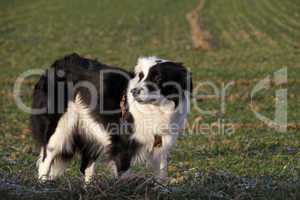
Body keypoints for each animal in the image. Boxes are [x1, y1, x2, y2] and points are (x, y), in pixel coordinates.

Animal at [31, 53, 192, 183]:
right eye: (141, 76)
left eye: (157, 78)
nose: (134, 92)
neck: (156, 109)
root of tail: (58, 62)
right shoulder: (122, 147)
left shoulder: (161, 144)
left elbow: (161, 175)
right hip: (59, 129)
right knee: (46, 160)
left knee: (86, 167)